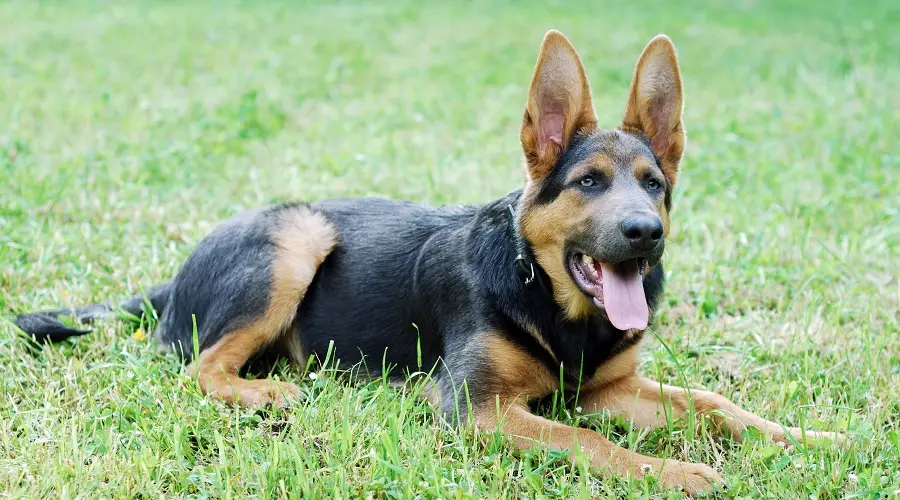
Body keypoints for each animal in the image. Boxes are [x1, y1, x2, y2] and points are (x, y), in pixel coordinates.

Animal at [14, 32, 844, 496]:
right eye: (588, 183)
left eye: (654, 185)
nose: (646, 234)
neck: (549, 299)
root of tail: (174, 277)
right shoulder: (474, 410)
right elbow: (588, 442)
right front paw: (674, 474)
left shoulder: (608, 389)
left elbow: (714, 403)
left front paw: (809, 440)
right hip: (298, 235)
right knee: (199, 366)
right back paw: (268, 394)